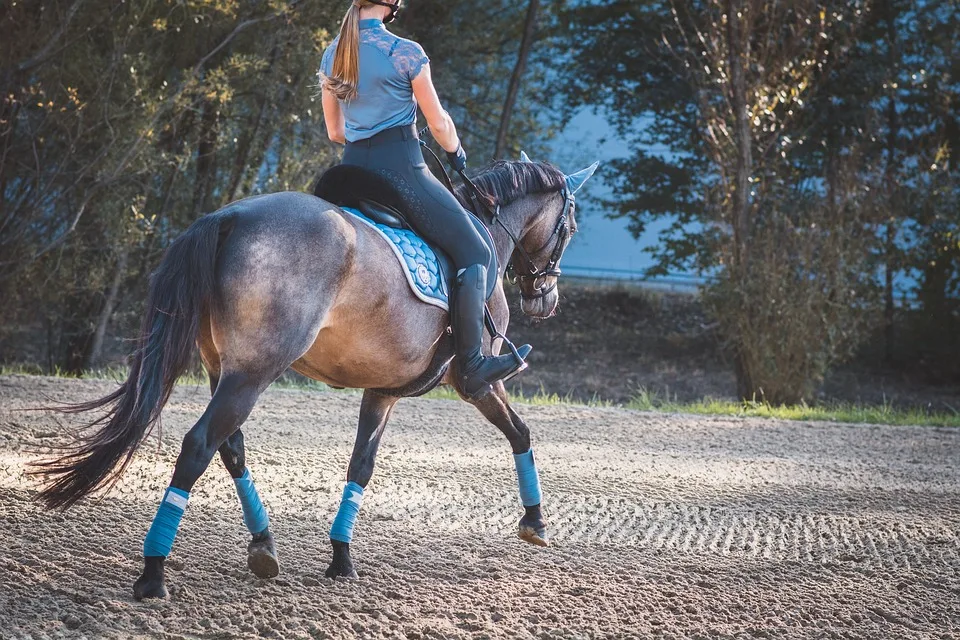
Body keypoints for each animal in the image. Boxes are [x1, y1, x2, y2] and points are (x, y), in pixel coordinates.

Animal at [33, 154, 596, 600]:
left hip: (226, 370)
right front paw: (535, 522)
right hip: (255, 372)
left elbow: (360, 466)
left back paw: (263, 546)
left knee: (229, 447)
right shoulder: (476, 382)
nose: (546, 299)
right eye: (570, 228)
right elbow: (521, 432)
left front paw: (341, 557)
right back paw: (154, 574)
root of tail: (229, 214)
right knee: (199, 446)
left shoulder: (381, 391)